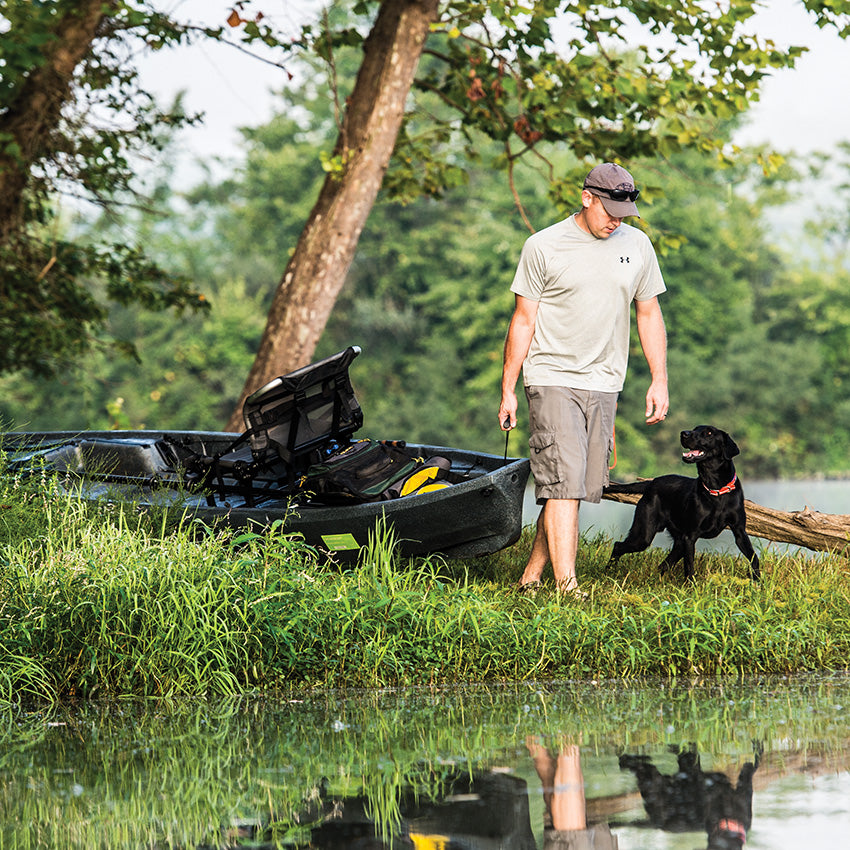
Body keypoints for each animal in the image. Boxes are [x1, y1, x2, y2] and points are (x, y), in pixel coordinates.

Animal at [608, 424, 760, 584]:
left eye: (709, 432)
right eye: (695, 428)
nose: (684, 433)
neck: (716, 490)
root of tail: (651, 483)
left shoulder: (739, 532)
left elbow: (754, 558)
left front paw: (757, 582)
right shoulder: (690, 536)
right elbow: (689, 566)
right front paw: (691, 586)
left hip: (677, 541)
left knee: (663, 565)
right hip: (644, 535)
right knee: (618, 546)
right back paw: (609, 571)